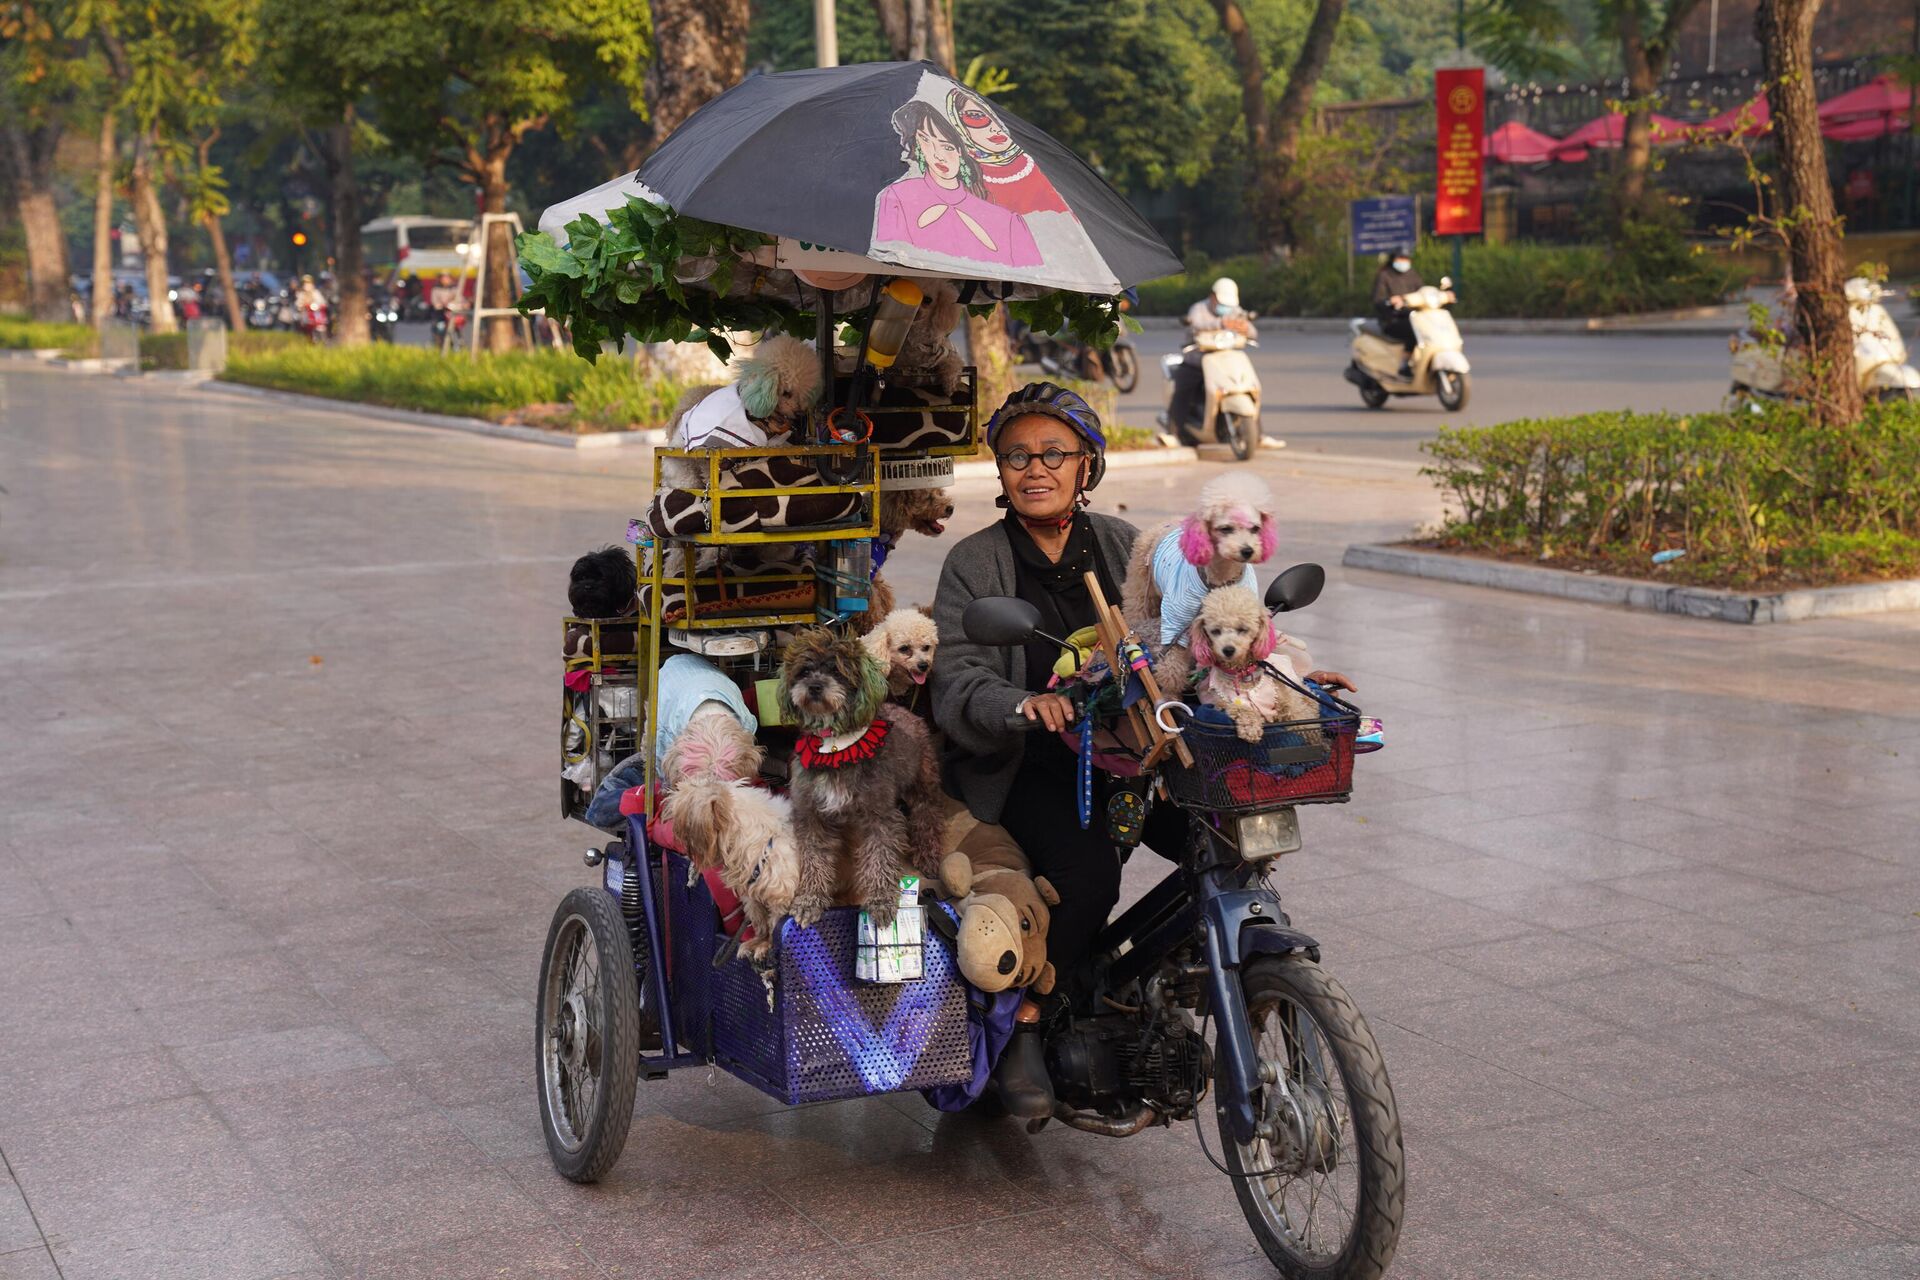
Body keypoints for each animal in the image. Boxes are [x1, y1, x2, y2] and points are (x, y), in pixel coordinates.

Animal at [775, 625, 948, 924]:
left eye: (837, 672)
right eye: (804, 671)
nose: (814, 686)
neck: (834, 746)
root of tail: (904, 710)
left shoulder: (879, 815)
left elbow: (879, 858)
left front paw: (879, 900)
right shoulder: (812, 815)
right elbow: (814, 859)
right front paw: (809, 899)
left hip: (923, 784)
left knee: (927, 817)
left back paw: (928, 856)